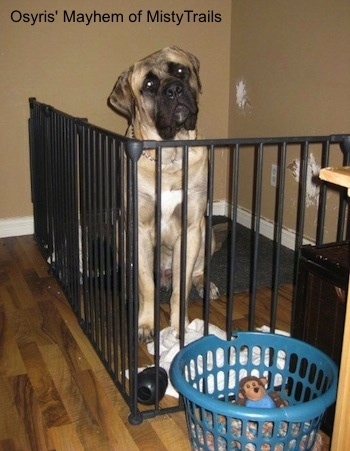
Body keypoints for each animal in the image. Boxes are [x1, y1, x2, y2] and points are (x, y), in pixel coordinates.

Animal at [108, 46, 219, 342]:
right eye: (149, 85)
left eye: (180, 70)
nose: (174, 90)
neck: (170, 155)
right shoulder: (138, 228)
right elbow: (146, 283)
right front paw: (146, 324)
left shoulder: (191, 227)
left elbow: (182, 287)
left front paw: (180, 325)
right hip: (121, 235)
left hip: (207, 232)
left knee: (196, 271)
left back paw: (206, 284)